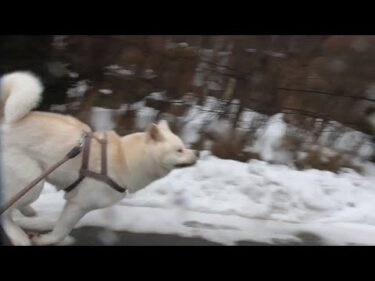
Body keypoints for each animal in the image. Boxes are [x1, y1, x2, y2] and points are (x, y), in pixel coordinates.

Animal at [0, 70, 200, 245]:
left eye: (184, 146)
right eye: (179, 150)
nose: (197, 153)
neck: (125, 158)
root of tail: (5, 123)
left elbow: (63, 231)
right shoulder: (78, 204)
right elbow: (60, 231)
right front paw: (45, 240)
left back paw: (27, 212)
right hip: (33, 182)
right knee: (6, 210)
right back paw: (18, 236)